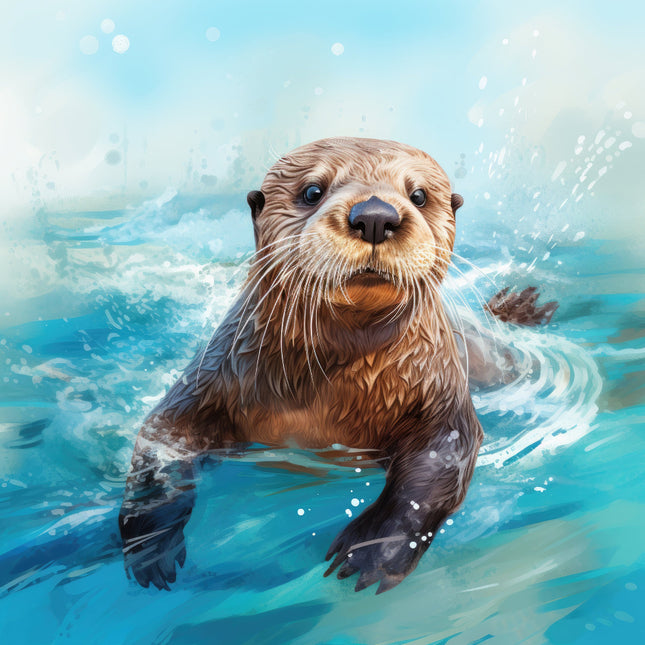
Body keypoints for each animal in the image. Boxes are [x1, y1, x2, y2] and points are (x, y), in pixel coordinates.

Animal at [119, 137, 556, 594]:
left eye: (419, 196)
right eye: (313, 191)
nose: (375, 215)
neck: (334, 391)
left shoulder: (440, 392)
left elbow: (440, 464)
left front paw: (373, 550)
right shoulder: (212, 377)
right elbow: (162, 442)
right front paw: (150, 547)